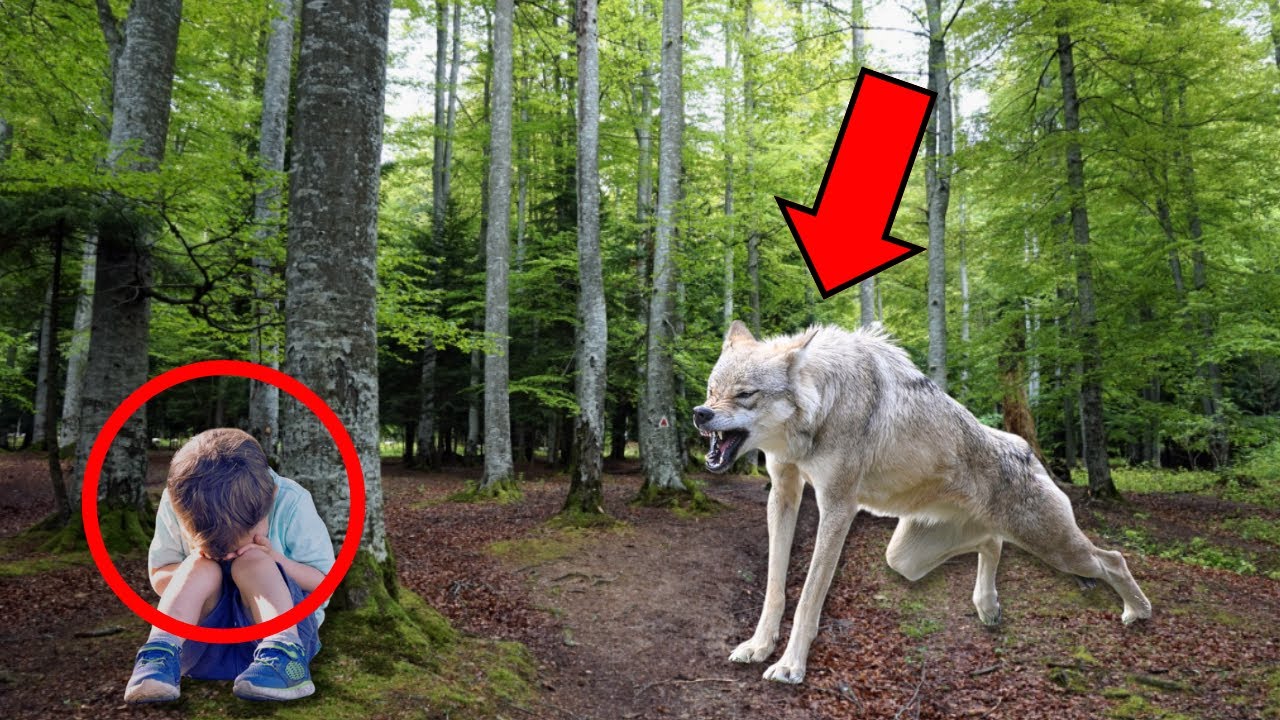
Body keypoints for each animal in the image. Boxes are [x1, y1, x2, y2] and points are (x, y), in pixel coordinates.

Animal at [694, 321, 1151, 684]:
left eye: (745, 394)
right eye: (711, 390)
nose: (700, 413)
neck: (825, 403)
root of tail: (1025, 447)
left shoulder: (838, 507)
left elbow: (807, 596)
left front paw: (790, 666)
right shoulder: (783, 494)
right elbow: (775, 588)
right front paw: (757, 646)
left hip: (1057, 548)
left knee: (1112, 559)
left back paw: (1138, 612)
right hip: (905, 557)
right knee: (991, 542)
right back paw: (988, 606)